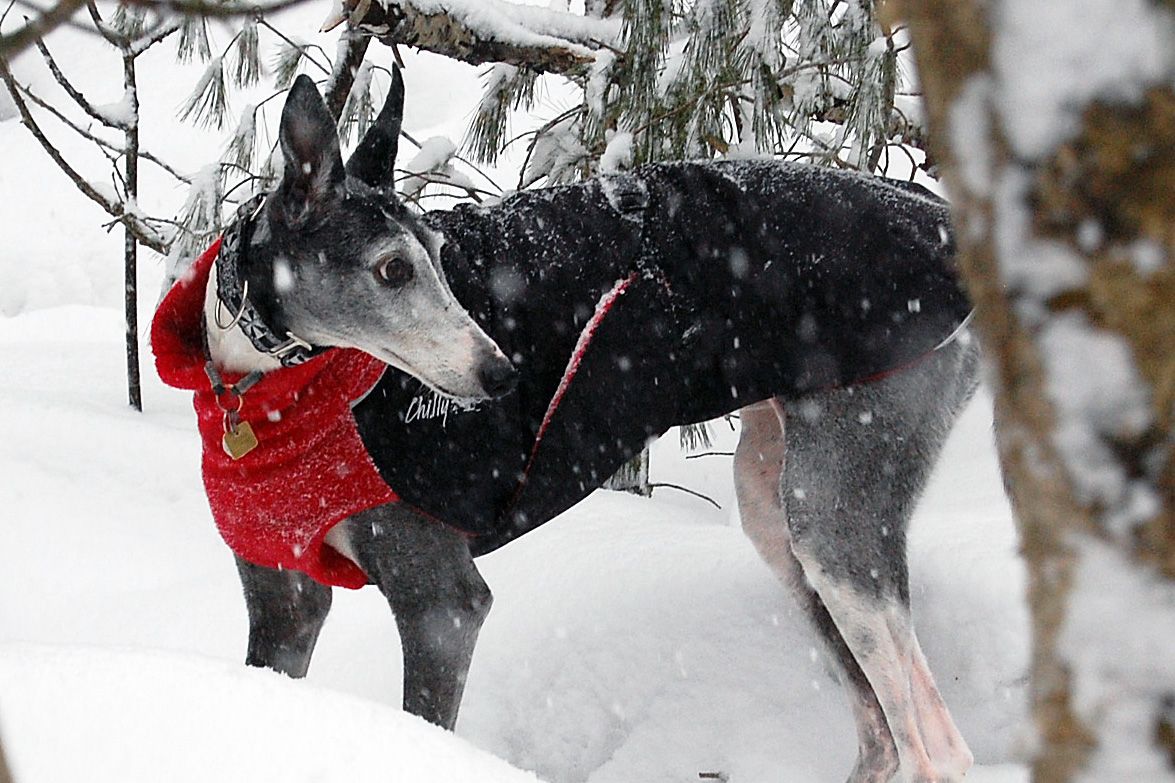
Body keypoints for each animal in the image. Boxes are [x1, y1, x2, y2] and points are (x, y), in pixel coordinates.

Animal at [156, 70, 982, 775]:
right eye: (393, 268)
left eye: (441, 257)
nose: (502, 376)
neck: (264, 389)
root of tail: (942, 217)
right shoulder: (283, 601)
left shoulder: (443, 604)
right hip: (774, 507)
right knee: (879, 735)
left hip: (838, 503)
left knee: (936, 748)